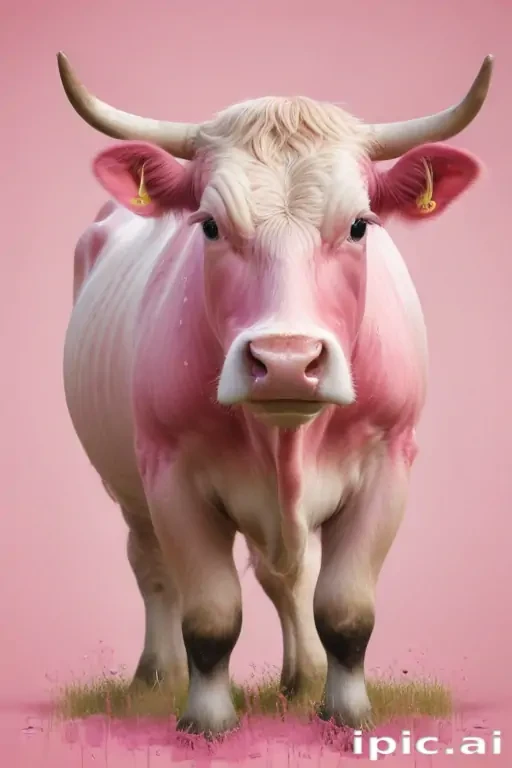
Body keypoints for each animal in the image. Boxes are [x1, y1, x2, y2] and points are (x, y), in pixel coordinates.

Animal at [58, 52, 493, 736]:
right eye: (209, 225)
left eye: (360, 225)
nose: (287, 362)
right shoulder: (170, 474)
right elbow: (210, 614)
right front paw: (206, 720)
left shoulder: (389, 462)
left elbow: (345, 609)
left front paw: (346, 711)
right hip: (126, 485)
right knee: (153, 568)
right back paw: (156, 676)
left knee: (288, 577)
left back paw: (302, 676)